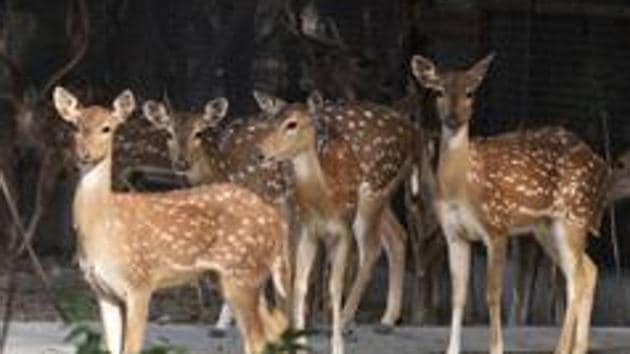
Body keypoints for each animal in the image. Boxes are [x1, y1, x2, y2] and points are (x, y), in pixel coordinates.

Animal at [53, 86, 290, 354]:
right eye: (75, 126)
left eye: (107, 128)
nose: (84, 154)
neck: (104, 225)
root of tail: (274, 221)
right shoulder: (102, 291)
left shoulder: (140, 282)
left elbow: (132, 346)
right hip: (238, 275)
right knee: (277, 326)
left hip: (242, 272)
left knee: (258, 338)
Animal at [256, 91, 420, 354]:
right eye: (269, 122)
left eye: (291, 125)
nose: (262, 153)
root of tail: (414, 134)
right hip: (379, 197)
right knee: (397, 235)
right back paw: (386, 320)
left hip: (372, 192)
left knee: (371, 249)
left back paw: (344, 322)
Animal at [414, 53, 612, 354]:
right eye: (439, 91)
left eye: (470, 92)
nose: (454, 118)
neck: (461, 185)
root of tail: (601, 167)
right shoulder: (453, 233)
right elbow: (458, 295)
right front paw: (451, 349)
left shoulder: (497, 226)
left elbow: (493, 294)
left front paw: (496, 348)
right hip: (545, 228)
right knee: (588, 270)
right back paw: (578, 348)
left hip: (573, 217)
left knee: (576, 279)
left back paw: (561, 348)